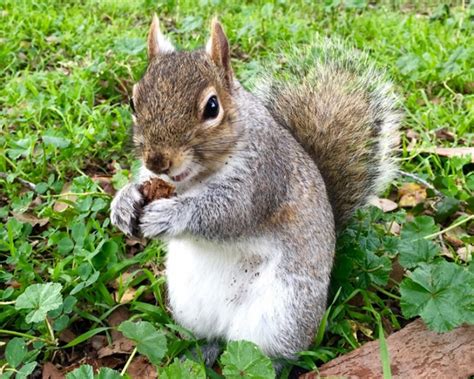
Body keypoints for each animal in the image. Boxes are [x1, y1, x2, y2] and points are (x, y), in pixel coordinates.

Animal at [110, 15, 400, 368]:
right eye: (133, 101)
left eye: (212, 106)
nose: (157, 160)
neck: (195, 179)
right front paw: (123, 203)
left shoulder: (265, 179)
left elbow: (228, 214)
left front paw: (169, 215)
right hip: (189, 304)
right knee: (213, 338)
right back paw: (200, 353)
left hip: (281, 314)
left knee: (267, 356)